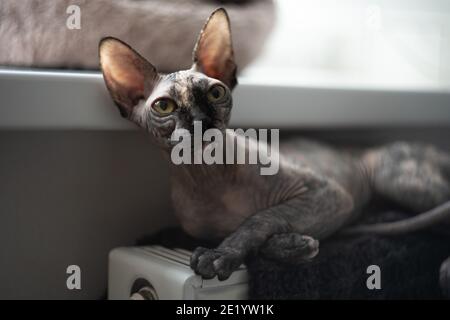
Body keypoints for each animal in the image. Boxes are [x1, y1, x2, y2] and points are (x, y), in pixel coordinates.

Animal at [99, 7, 450, 292]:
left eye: (215, 93)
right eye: (164, 106)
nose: (201, 121)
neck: (208, 174)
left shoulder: (329, 195)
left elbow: (259, 219)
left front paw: (224, 254)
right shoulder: (199, 230)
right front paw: (292, 245)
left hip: (395, 178)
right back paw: (382, 216)